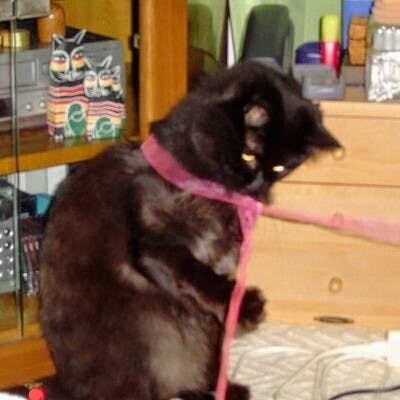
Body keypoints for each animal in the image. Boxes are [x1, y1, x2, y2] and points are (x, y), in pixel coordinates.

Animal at [39, 61, 341, 400]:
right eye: (248, 155)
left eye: (280, 168)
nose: (258, 191)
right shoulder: (156, 245)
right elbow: (196, 274)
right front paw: (246, 306)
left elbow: (215, 339)